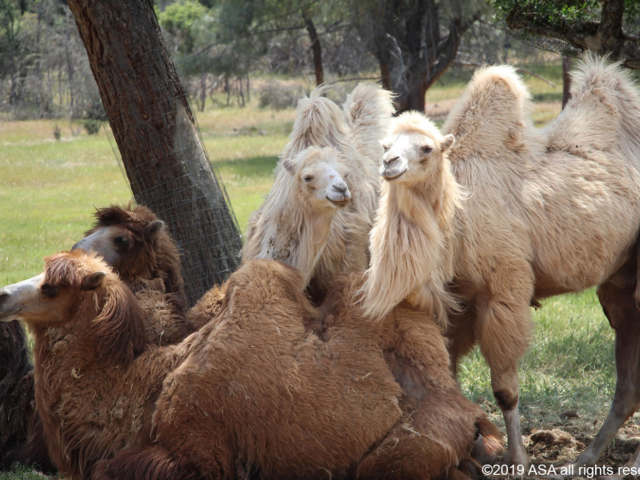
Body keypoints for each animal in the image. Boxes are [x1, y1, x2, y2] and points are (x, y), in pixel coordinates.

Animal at [0, 253, 500, 478]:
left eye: (51, 287)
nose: (3, 294)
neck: (144, 390)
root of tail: (472, 415)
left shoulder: (198, 450)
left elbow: (113, 469)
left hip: (400, 454)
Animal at [362, 55, 640, 464]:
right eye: (386, 143)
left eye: (426, 148)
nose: (389, 163)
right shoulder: (455, 302)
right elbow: (449, 379)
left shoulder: (502, 292)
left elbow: (505, 391)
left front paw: (518, 459)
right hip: (620, 281)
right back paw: (585, 458)